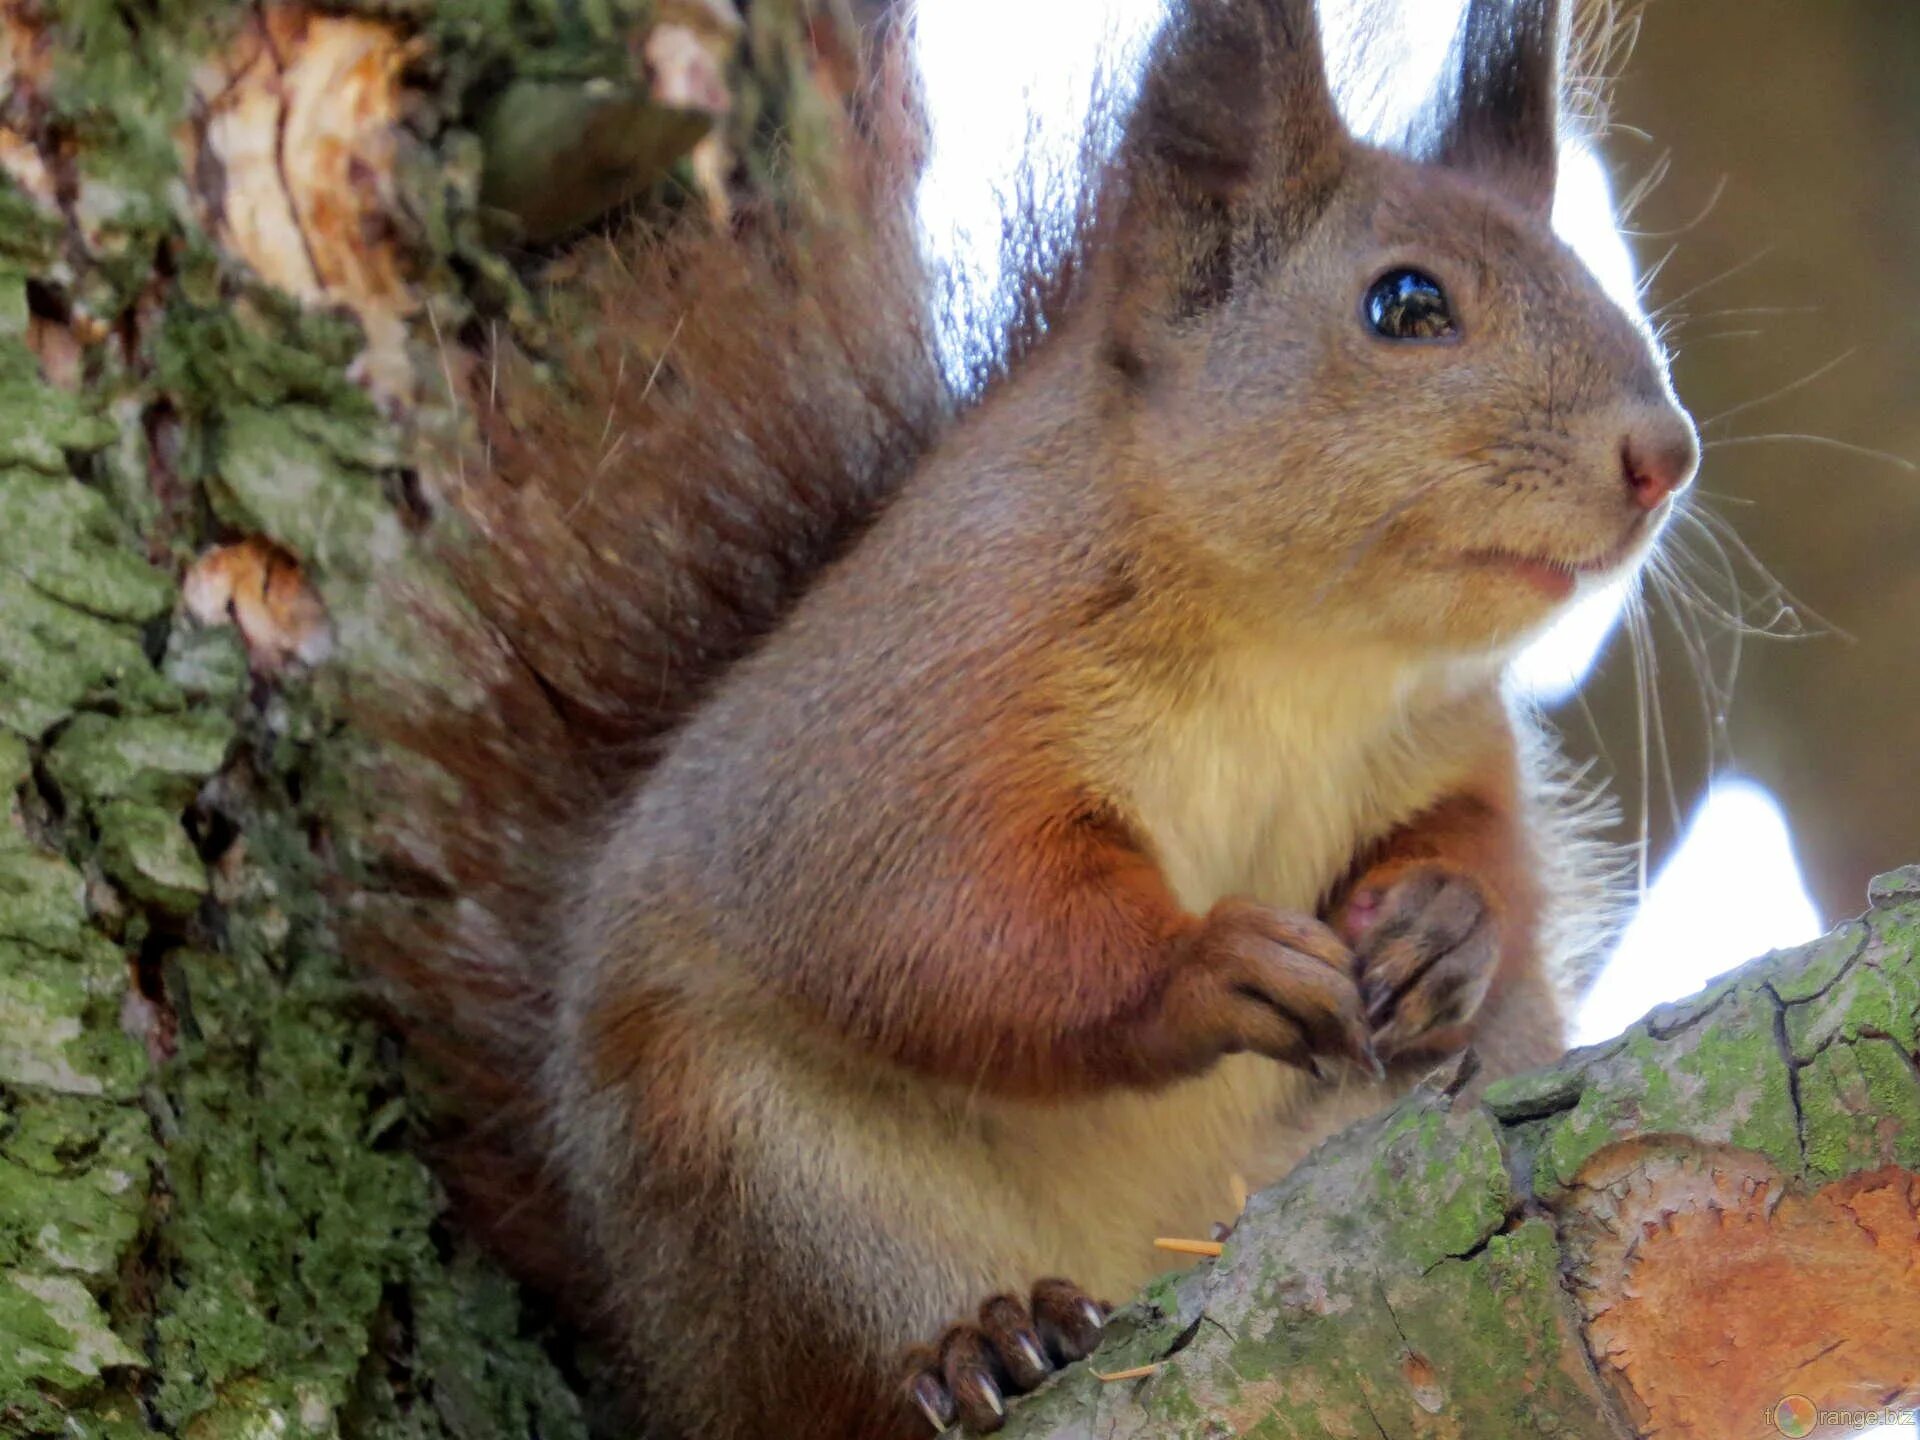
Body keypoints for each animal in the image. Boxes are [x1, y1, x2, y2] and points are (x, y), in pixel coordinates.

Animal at [349, 2, 1697, 1440]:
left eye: (1594, 272)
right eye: (1406, 305)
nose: (1666, 455)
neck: (1301, 657)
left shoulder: (1452, 738)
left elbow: (1483, 838)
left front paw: (1445, 924)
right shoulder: (922, 697)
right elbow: (936, 909)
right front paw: (1206, 965)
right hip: (764, 1180)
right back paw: (984, 1343)